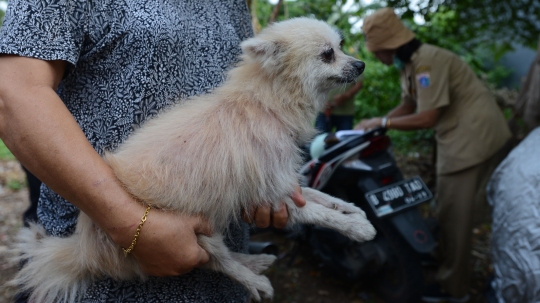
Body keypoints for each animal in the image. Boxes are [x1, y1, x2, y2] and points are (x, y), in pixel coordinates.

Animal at [11, 18, 376, 303]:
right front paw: (357, 228)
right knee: (217, 261)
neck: (266, 105)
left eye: (341, 46)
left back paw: (254, 262)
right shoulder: (272, 192)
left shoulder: (284, 183)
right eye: (327, 54)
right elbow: (316, 212)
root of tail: (85, 250)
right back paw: (254, 278)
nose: (361, 65)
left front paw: (352, 210)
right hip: (190, 234)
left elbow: (319, 196)